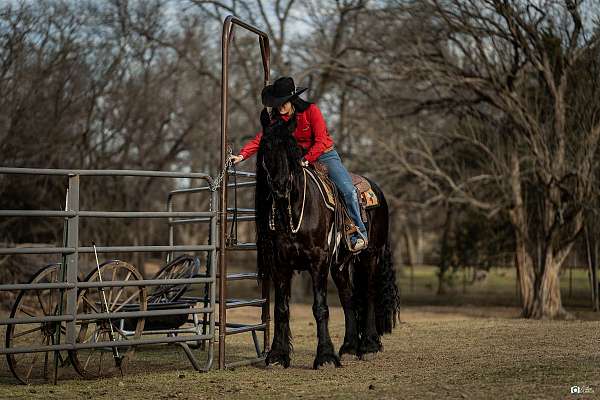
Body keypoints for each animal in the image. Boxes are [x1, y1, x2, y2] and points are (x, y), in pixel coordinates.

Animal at [254, 107, 398, 368]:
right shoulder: (281, 264)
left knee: (369, 294)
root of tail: (377, 190)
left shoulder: (318, 260)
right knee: (348, 296)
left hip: (371, 255)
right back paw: (349, 347)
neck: (293, 211)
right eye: (266, 146)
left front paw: (326, 356)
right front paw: (278, 355)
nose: (280, 186)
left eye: (290, 147)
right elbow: (281, 308)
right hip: (340, 264)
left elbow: (320, 308)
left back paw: (369, 345)